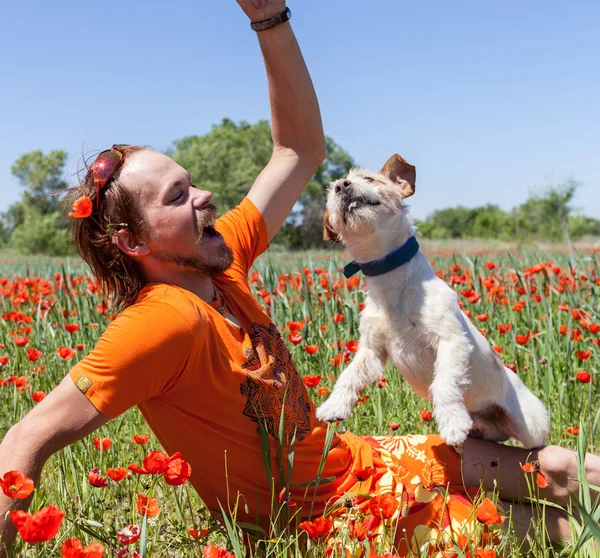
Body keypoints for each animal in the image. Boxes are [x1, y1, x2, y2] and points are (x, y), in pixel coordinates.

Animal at [316, 154, 552, 450]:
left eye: (369, 179)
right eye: (331, 192)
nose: (342, 186)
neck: (388, 276)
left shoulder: (450, 340)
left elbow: (444, 383)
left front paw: (452, 424)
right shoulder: (372, 350)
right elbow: (348, 375)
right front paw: (333, 406)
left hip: (533, 425)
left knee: (537, 444)